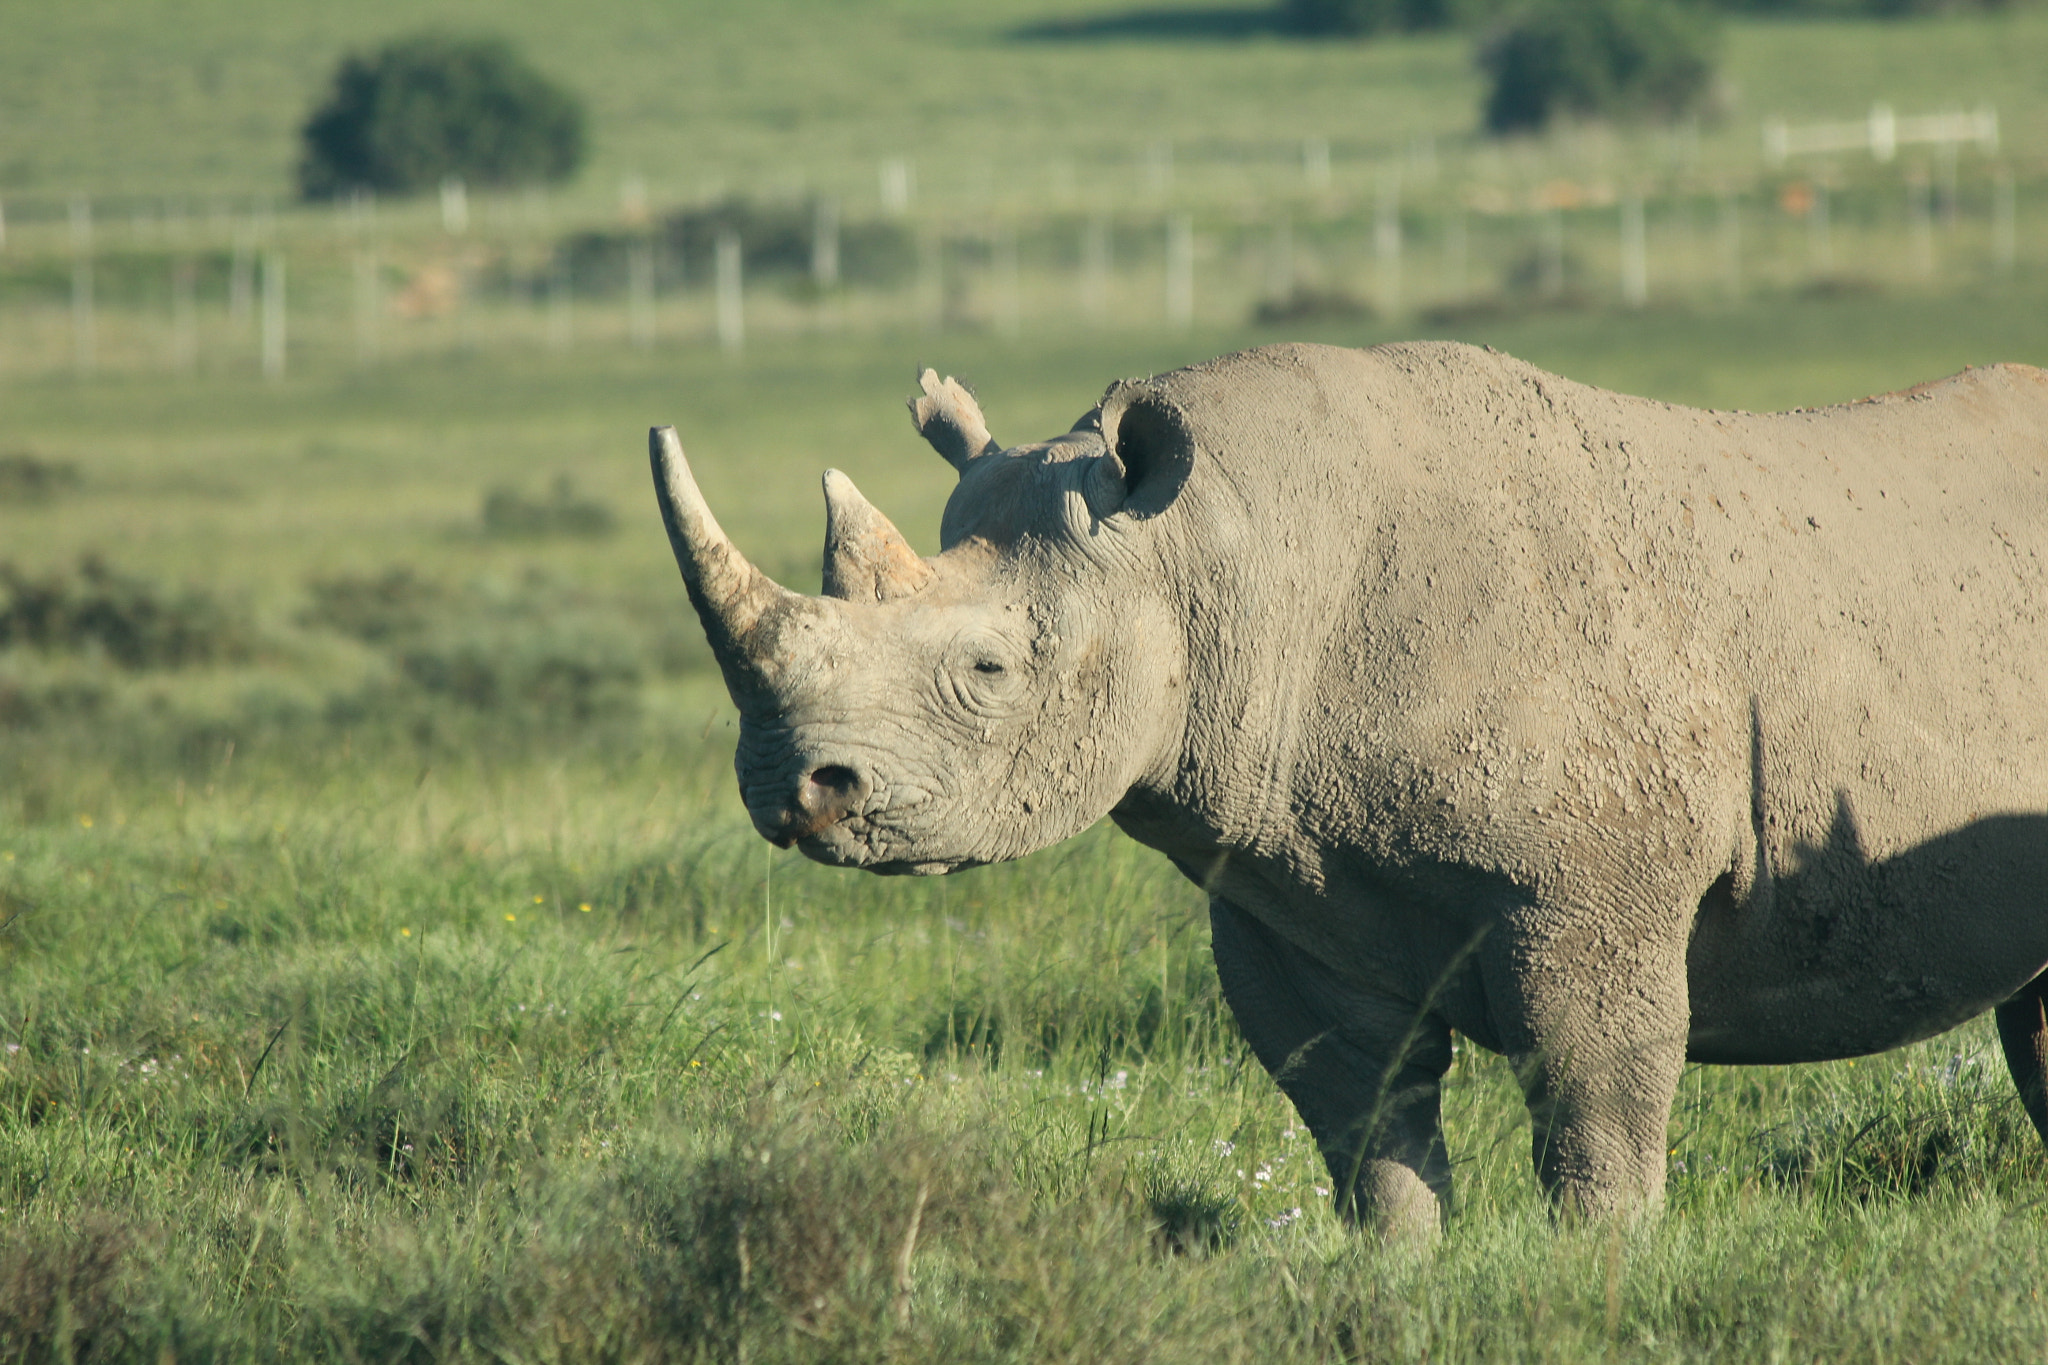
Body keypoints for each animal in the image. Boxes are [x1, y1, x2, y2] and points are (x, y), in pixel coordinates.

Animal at [649, 341, 2048, 1236]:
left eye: (988, 669)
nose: (793, 789)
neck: (1215, 556)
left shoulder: (1592, 886)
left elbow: (1594, 1101)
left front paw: (1600, 1277)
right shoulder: (1281, 886)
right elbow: (1356, 1112)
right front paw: (1399, 1280)